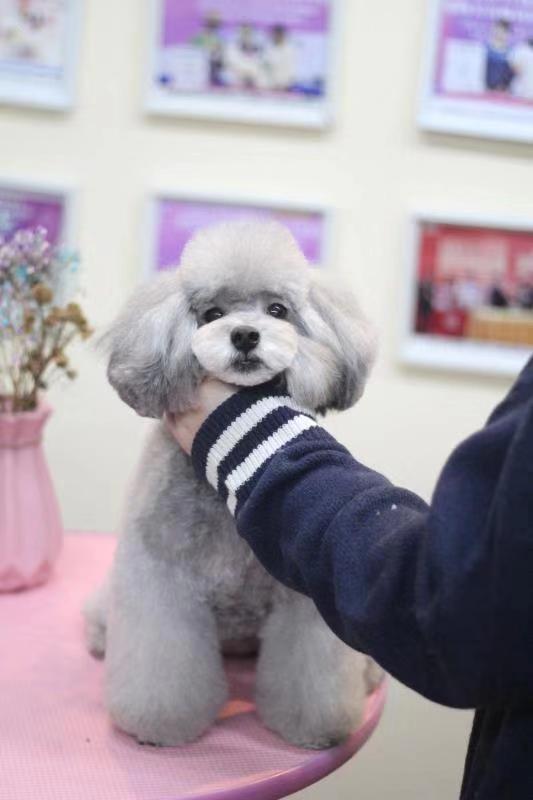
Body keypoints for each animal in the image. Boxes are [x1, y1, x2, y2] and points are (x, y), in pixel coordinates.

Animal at [84, 220, 381, 749]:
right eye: (212, 314)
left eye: (278, 310)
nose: (244, 334)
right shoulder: (161, 583)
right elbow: (160, 668)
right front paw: (157, 726)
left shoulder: (304, 600)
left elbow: (313, 676)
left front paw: (317, 728)